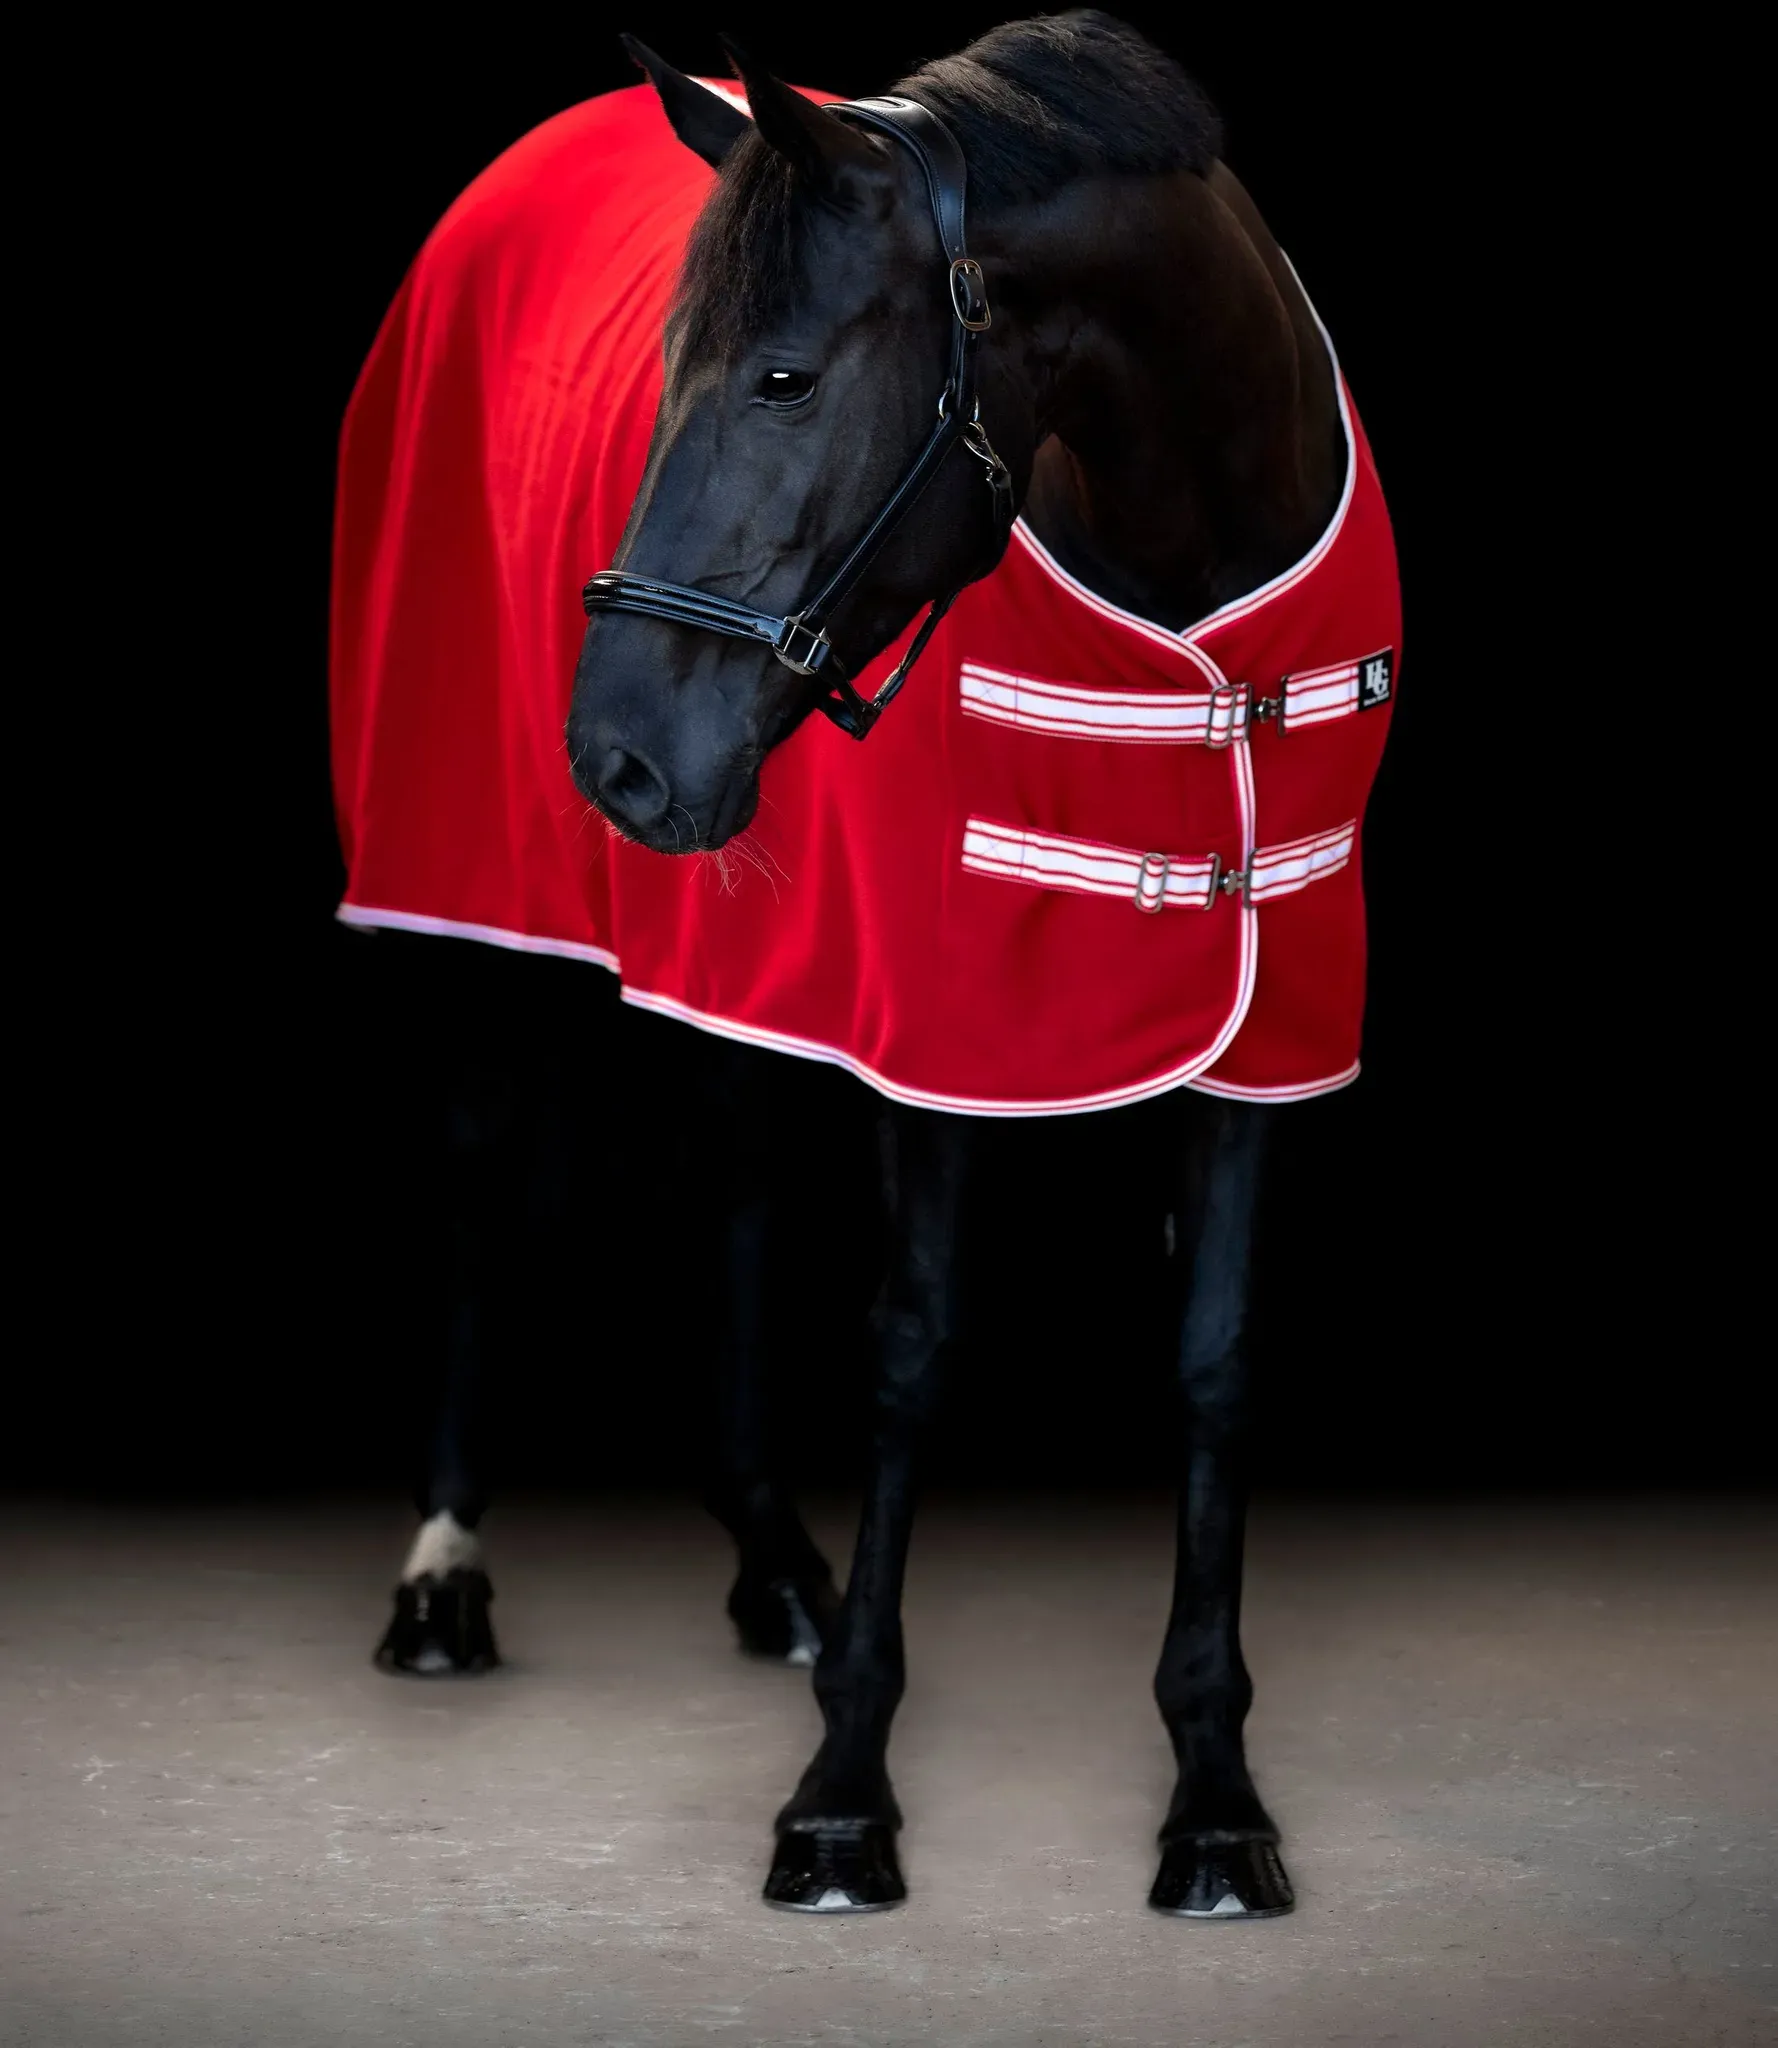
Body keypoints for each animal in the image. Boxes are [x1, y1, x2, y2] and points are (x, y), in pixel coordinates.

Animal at [331, 11, 1399, 1919]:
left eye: (782, 379)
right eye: (670, 367)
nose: (614, 756)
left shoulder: (1267, 1007)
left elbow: (1212, 1359)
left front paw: (1212, 1792)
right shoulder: (936, 1016)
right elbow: (907, 1349)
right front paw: (841, 1791)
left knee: (735, 1169)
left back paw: (772, 1565)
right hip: (477, 883)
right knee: (478, 1165)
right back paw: (443, 1579)